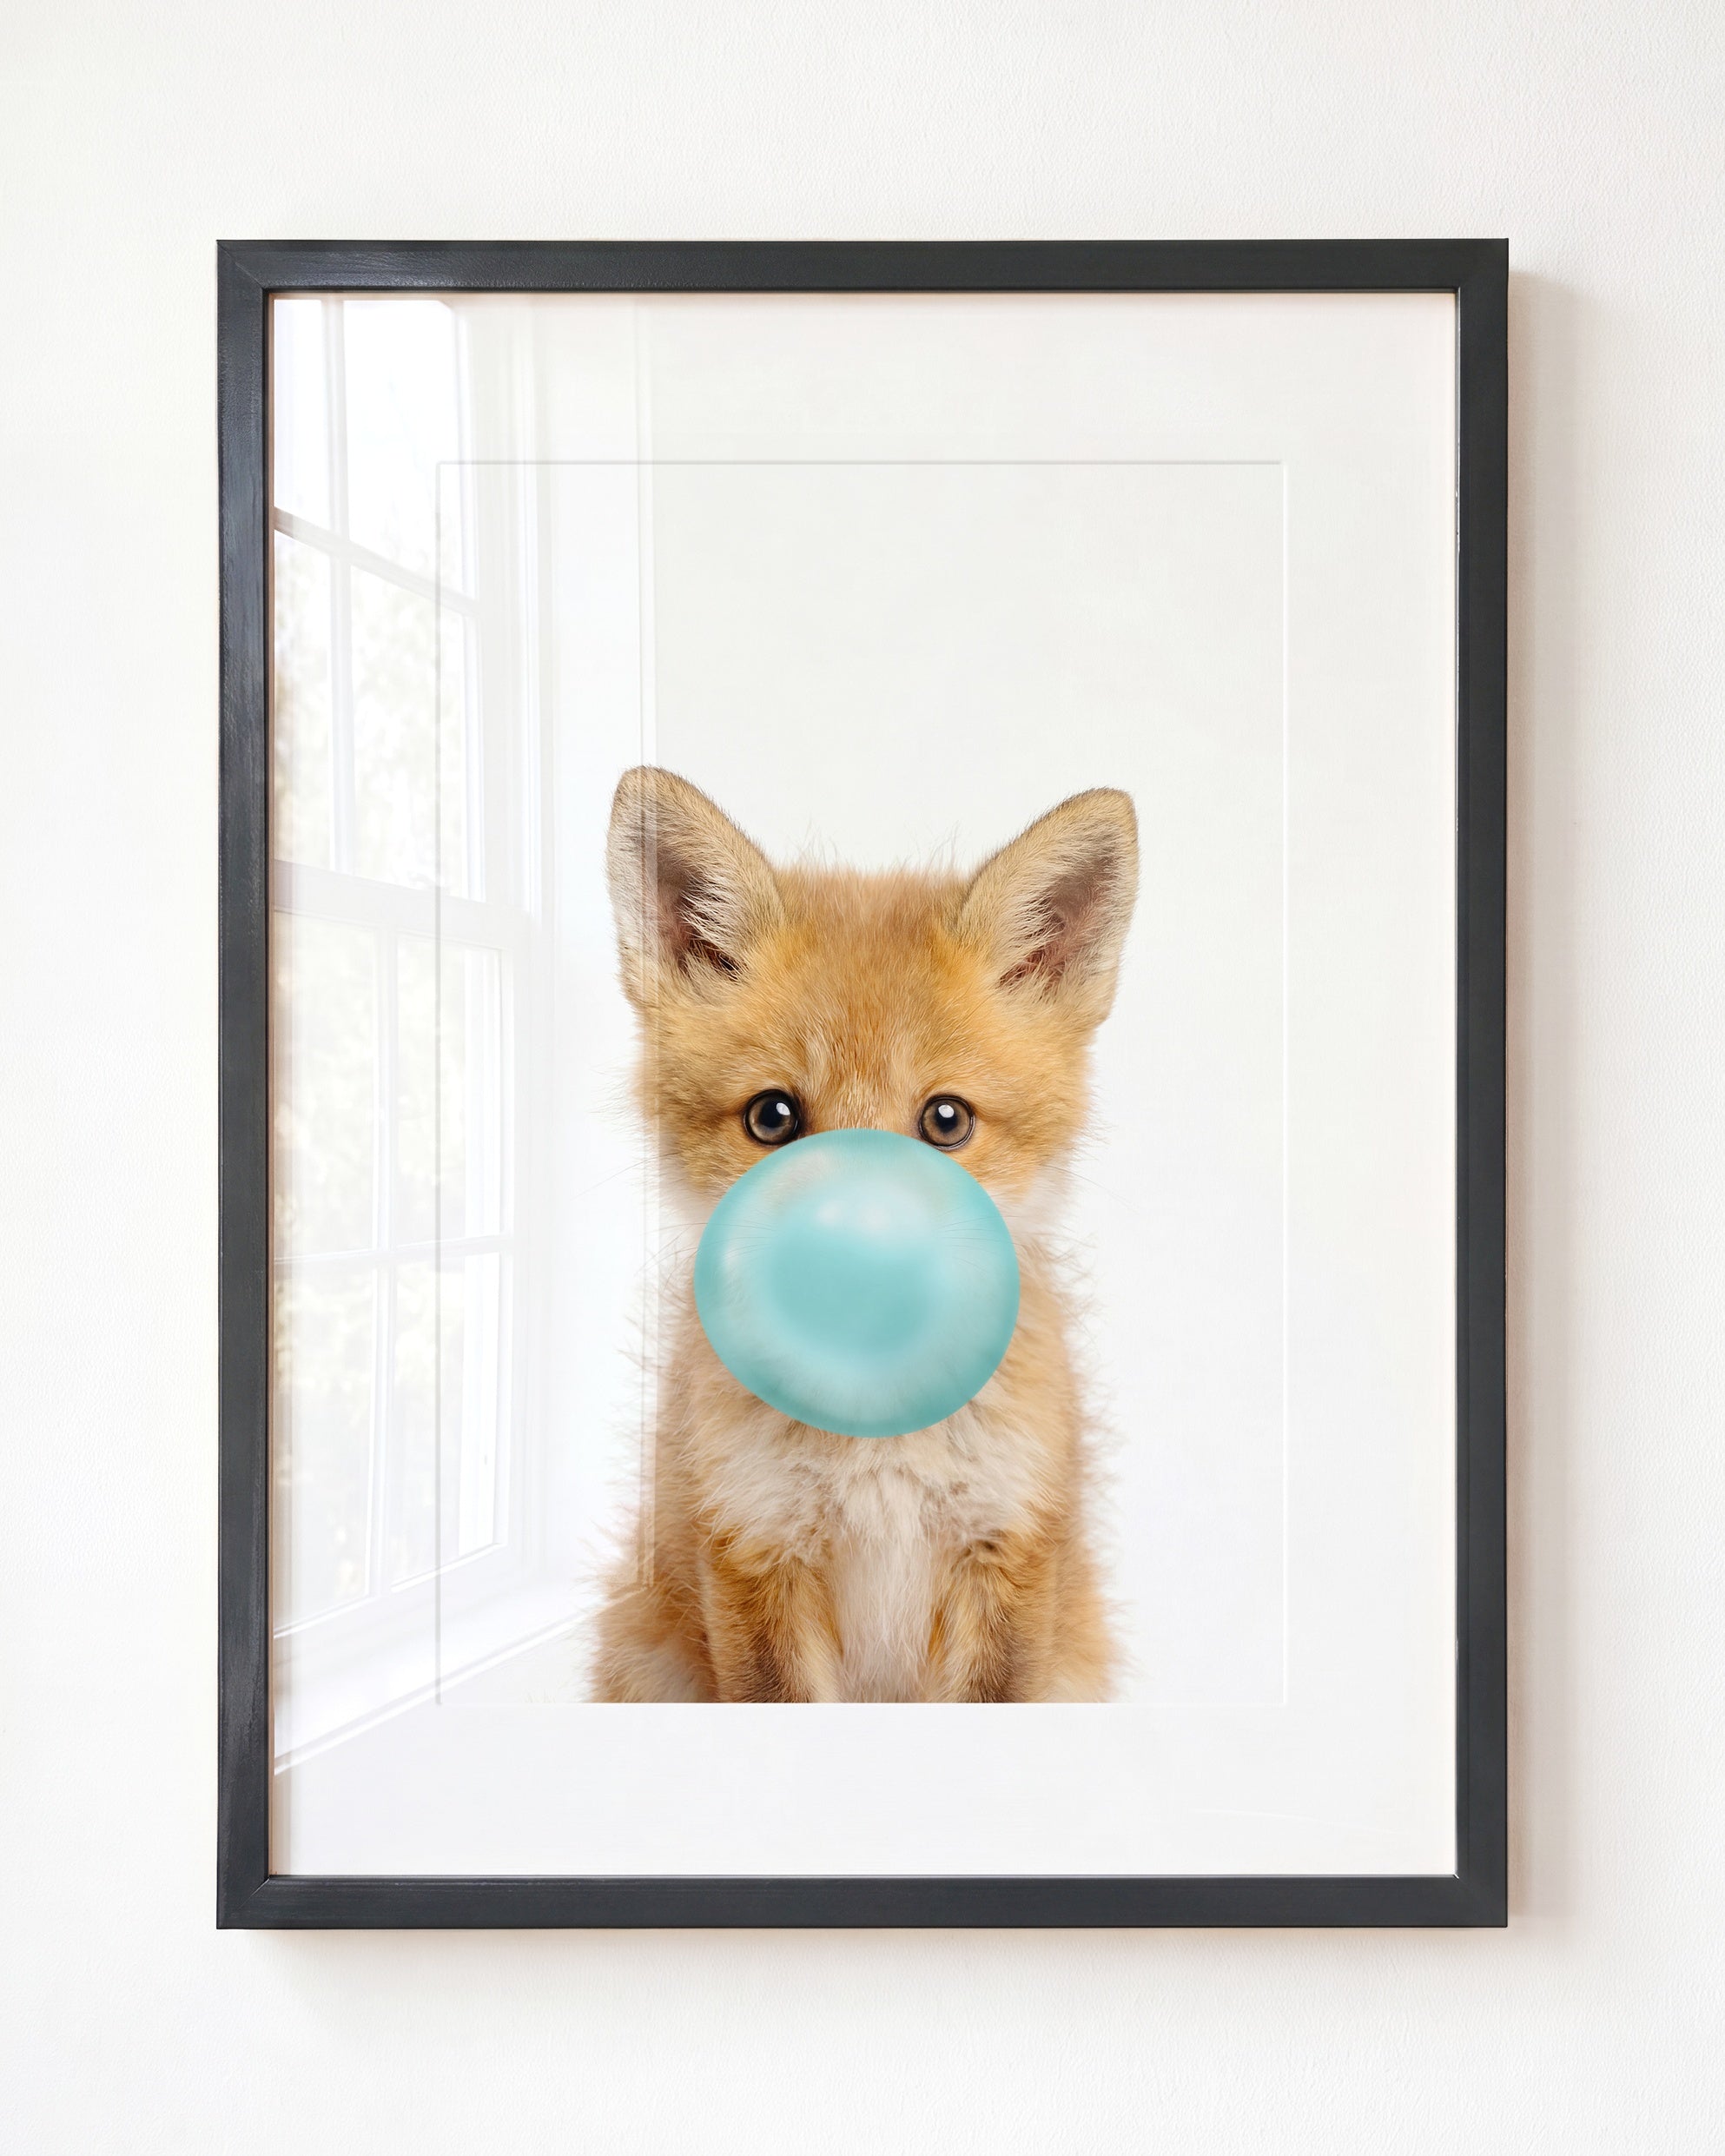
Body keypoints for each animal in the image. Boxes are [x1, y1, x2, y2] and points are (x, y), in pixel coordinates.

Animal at [590, 765, 1139, 1703]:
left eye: (946, 1121)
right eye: (773, 1117)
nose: (852, 1261)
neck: (876, 1445)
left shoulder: (1007, 1552)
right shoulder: (753, 1550)